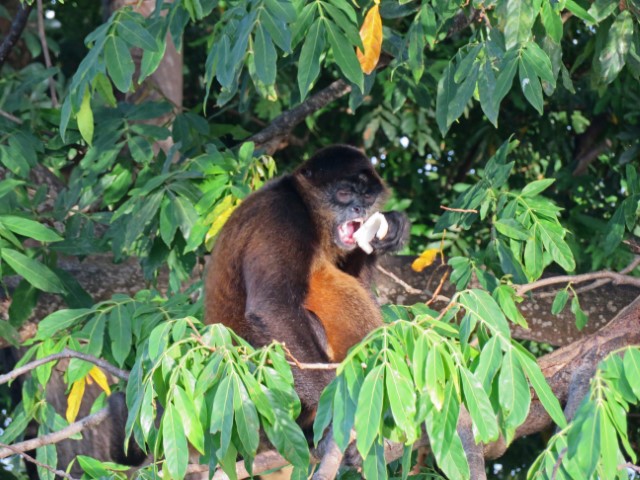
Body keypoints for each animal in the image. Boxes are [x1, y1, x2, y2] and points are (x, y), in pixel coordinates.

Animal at [205, 144, 410, 426]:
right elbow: (272, 307)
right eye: (344, 194)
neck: (309, 212)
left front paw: (393, 227)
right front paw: (332, 407)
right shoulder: (282, 214)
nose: (359, 209)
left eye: (367, 197)